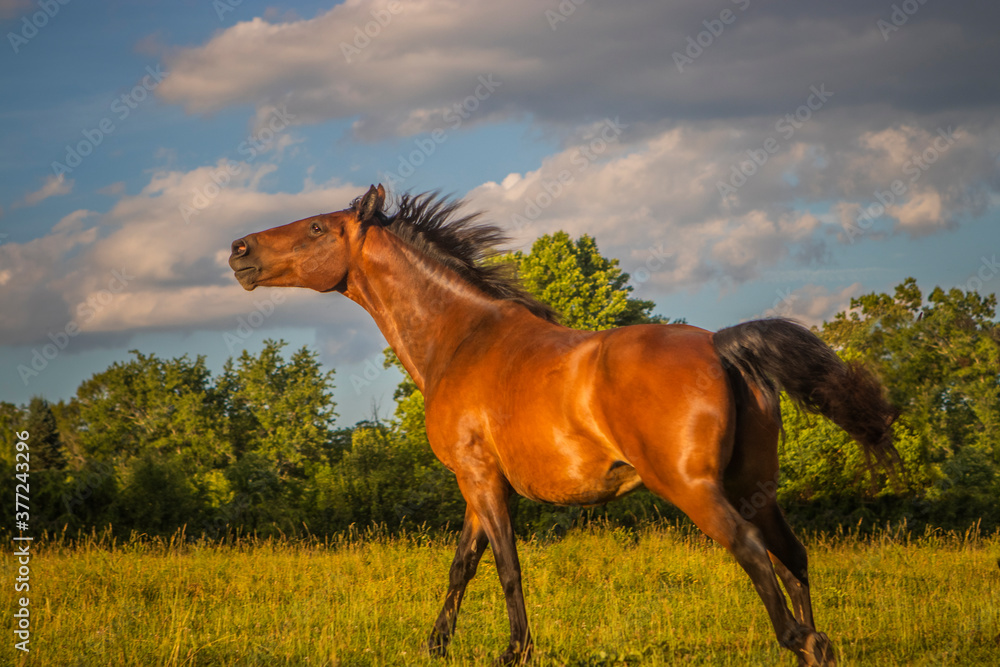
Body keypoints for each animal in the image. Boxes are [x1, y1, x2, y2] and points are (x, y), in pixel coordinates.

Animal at [228, 184, 898, 666]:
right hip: (755, 486)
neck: (461, 338)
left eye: (318, 227)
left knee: (756, 555)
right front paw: (435, 645)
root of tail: (722, 346)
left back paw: (800, 640)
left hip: (697, 490)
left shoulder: (480, 479)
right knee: (793, 559)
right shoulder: (477, 484)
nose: (239, 250)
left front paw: (514, 651)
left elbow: (505, 565)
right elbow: (462, 564)